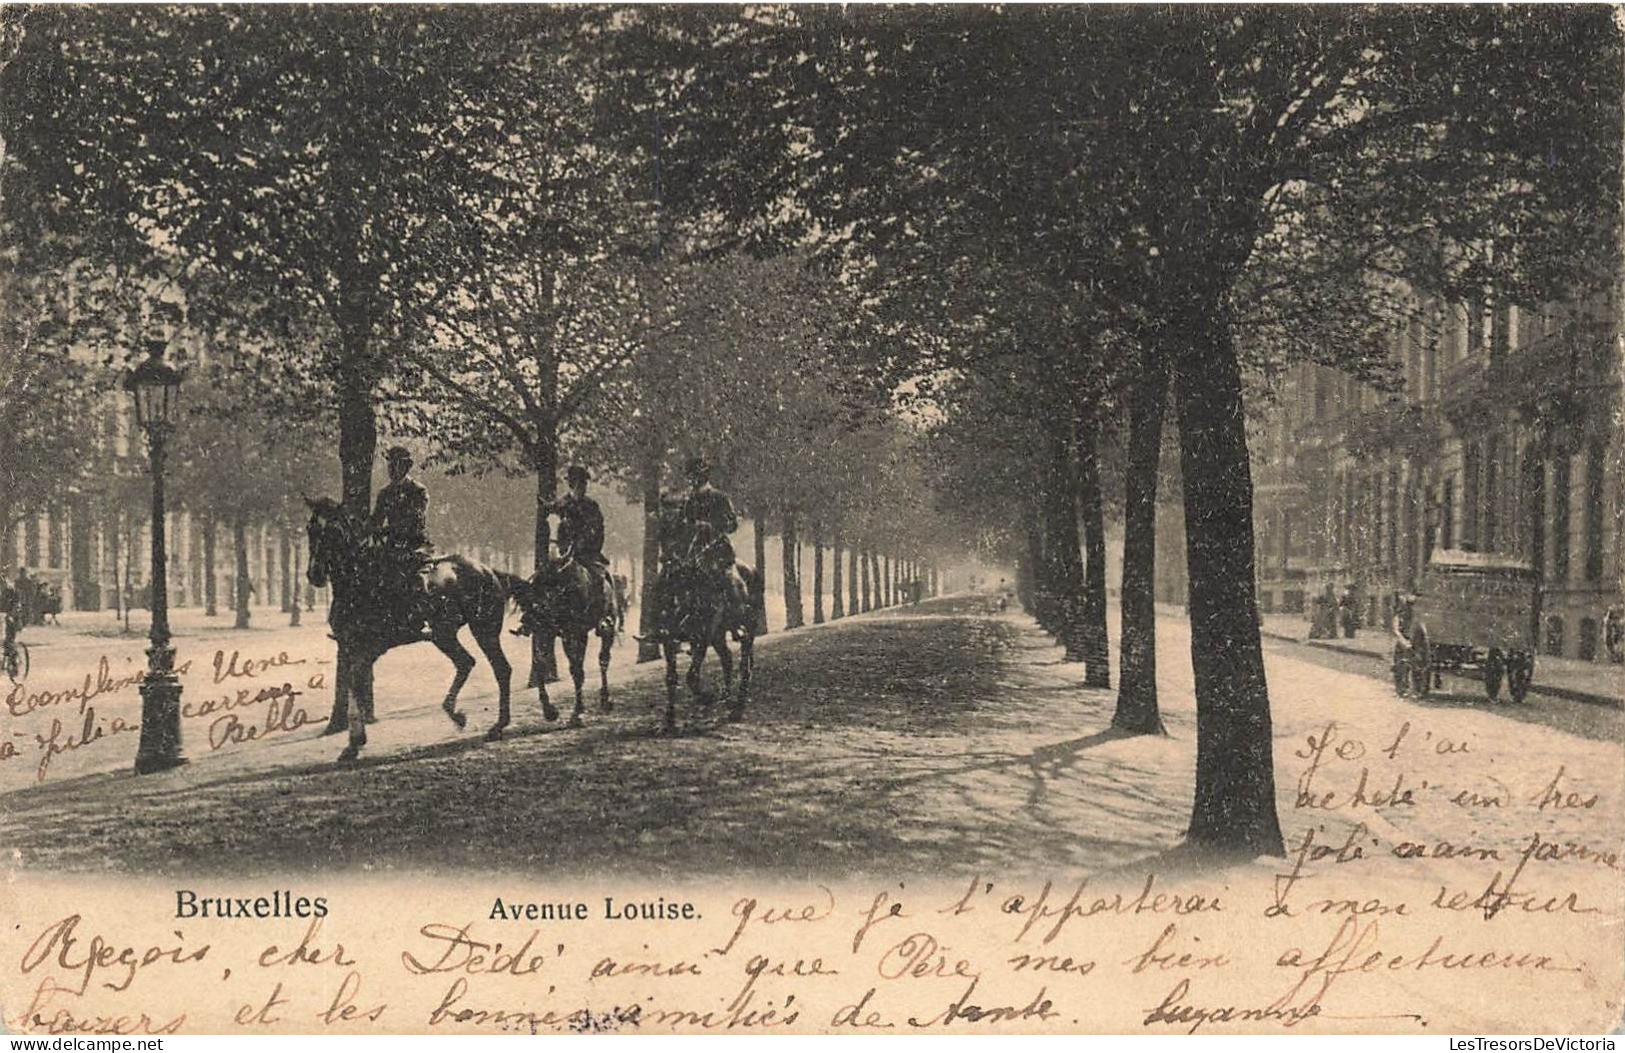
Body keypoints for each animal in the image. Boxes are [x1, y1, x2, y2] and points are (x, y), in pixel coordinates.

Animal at [305, 497, 526, 760]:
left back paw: (497, 725)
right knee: (466, 662)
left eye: (334, 531)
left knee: (501, 669)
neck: (360, 583)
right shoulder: (350, 647)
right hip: (444, 635)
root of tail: (489, 571)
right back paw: (456, 714)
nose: (315, 574)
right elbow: (352, 688)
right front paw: (353, 743)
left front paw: (354, 742)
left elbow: (356, 685)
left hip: (483, 630)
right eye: (310, 529)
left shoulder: (370, 649)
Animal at [513, 559, 620, 731]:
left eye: (549, 589)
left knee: (603, 659)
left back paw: (605, 699)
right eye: (533, 588)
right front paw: (549, 710)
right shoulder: (547, 633)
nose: (529, 619)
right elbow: (540, 665)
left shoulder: (575, 633)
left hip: (607, 627)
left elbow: (577, 671)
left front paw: (577, 714)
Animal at [650, 500, 763, 731]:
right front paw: (669, 720)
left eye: (680, 528)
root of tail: (752, 569)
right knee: (728, 659)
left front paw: (706, 697)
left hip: (747, 626)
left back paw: (737, 706)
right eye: (660, 531)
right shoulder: (669, 640)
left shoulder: (702, 635)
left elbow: (692, 676)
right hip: (719, 635)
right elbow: (671, 677)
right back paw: (728, 699)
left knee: (745, 662)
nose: (665, 559)